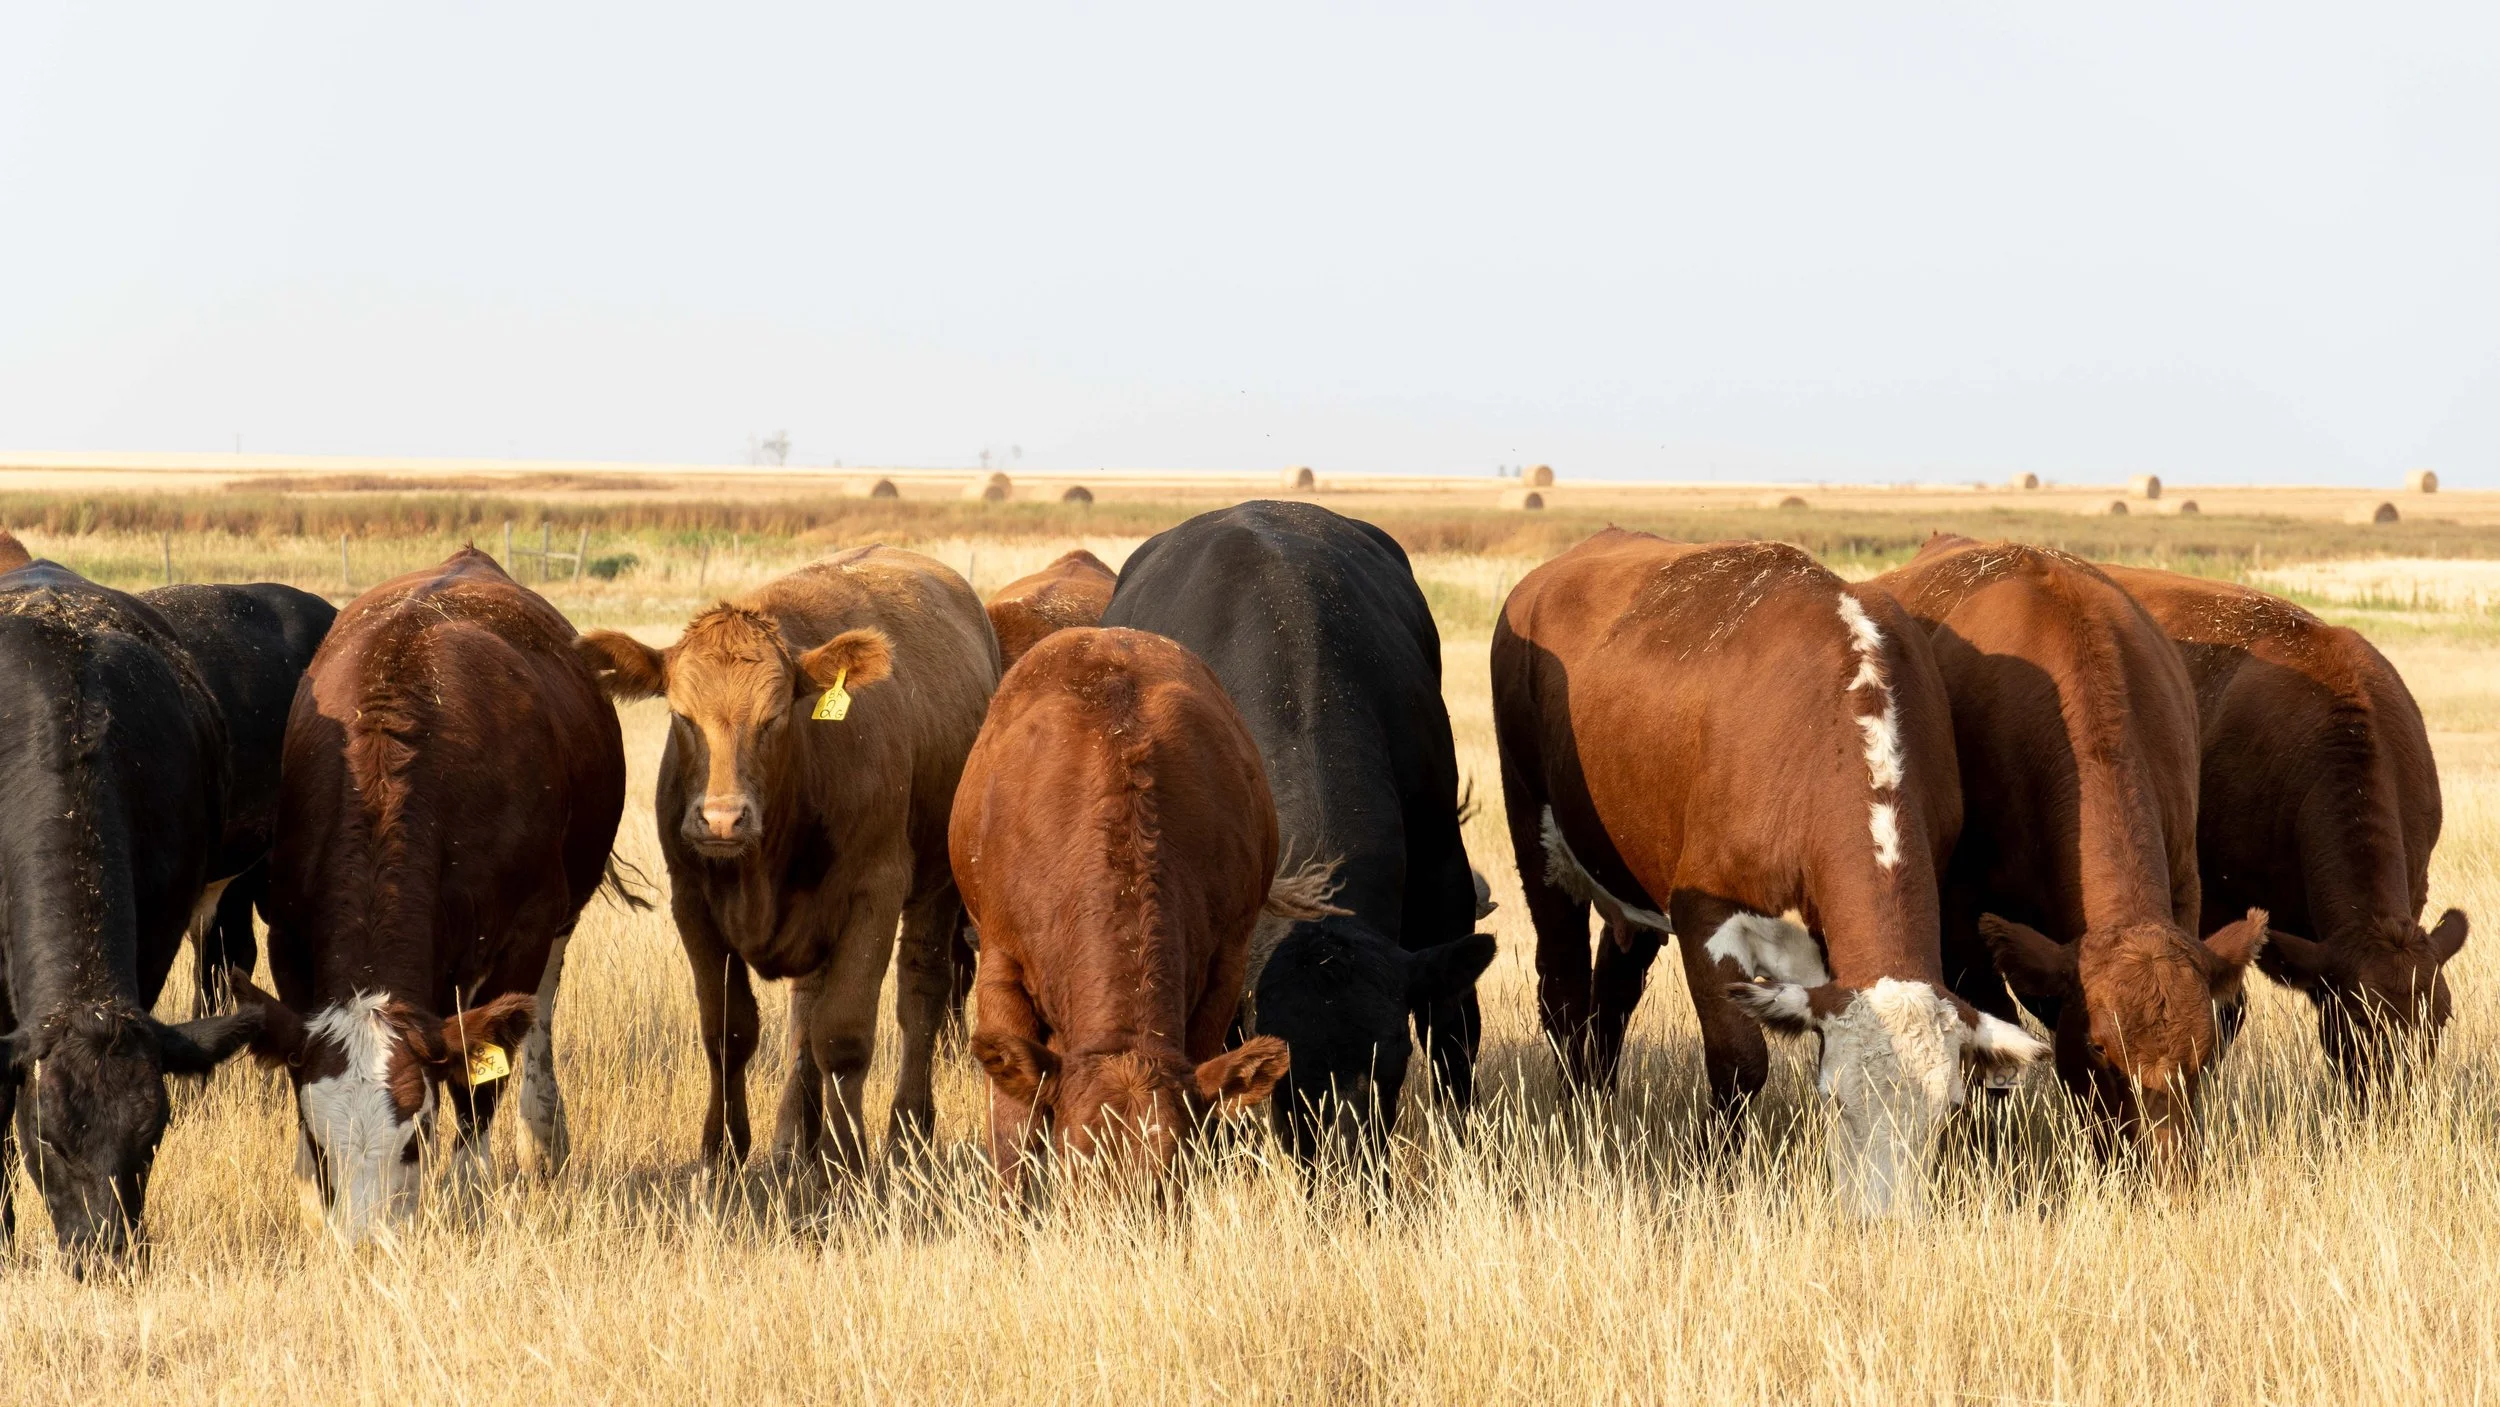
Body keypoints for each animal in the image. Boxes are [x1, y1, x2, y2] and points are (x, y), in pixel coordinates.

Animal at [227, 548, 628, 1243]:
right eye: (322, 1144)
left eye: (412, 1141)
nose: (365, 1245)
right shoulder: (289, 938)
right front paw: (311, 1203)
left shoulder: (525, 934)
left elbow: (479, 1082)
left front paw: (467, 1196)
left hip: (560, 919)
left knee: (539, 1017)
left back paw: (543, 1135)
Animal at [575, 546, 997, 1172]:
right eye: (681, 715)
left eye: (773, 717)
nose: (722, 819)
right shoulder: (692, 902)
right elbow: (728, 1030)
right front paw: (723, 1149)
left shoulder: (874, 894)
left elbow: (843, 1036)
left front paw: (846, 1158)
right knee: (805, 1012)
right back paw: (793, 1135)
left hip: (937, 887)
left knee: (920, 994)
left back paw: (906, 1131)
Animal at [1492, 530, 2045, 1218]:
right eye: (1835, 1101)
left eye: (1945, 1114)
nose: (1885, 1221)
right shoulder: (1703, 912)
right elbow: (1740, 1061)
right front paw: (1709, 1172)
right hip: (1538, 837)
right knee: (1563, 990)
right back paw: (1575, 1113)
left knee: (1613, 992)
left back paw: (1599, 1100)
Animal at [2101, 562, 2462, 1094]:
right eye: (2358, 1019)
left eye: (2441, 1017)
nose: (2397, 1101)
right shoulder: (2220, 908)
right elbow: (2223, 1011)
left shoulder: (2416, 887)